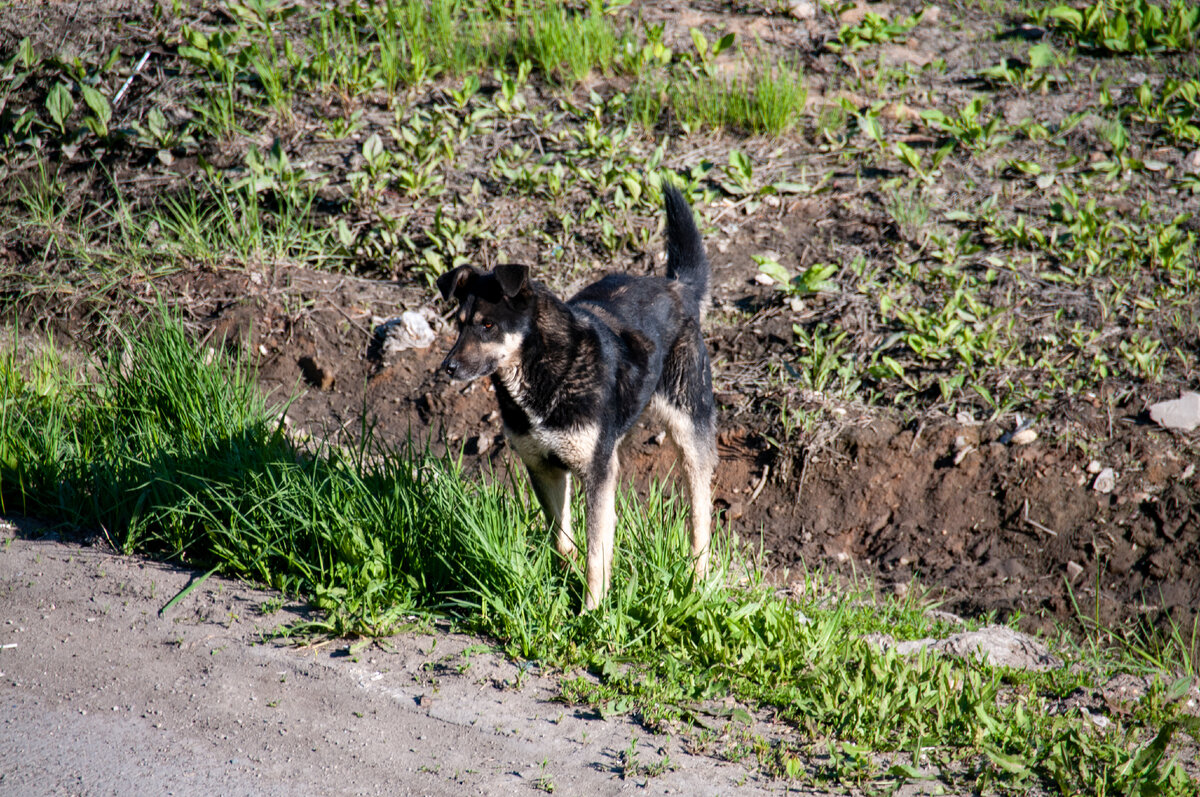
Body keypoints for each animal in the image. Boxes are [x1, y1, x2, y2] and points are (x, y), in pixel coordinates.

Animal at [439, 187, 710, 609]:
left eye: (488, 325)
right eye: (460, 324)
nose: (447, 368)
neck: (545, 371)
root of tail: (677, 286)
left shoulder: (596, 471)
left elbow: (596, 552)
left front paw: (591, 611)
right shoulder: (545, 466)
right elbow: (562, 538)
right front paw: (564, 580)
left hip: (688, 429)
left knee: (701, 514)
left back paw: (696, 583)